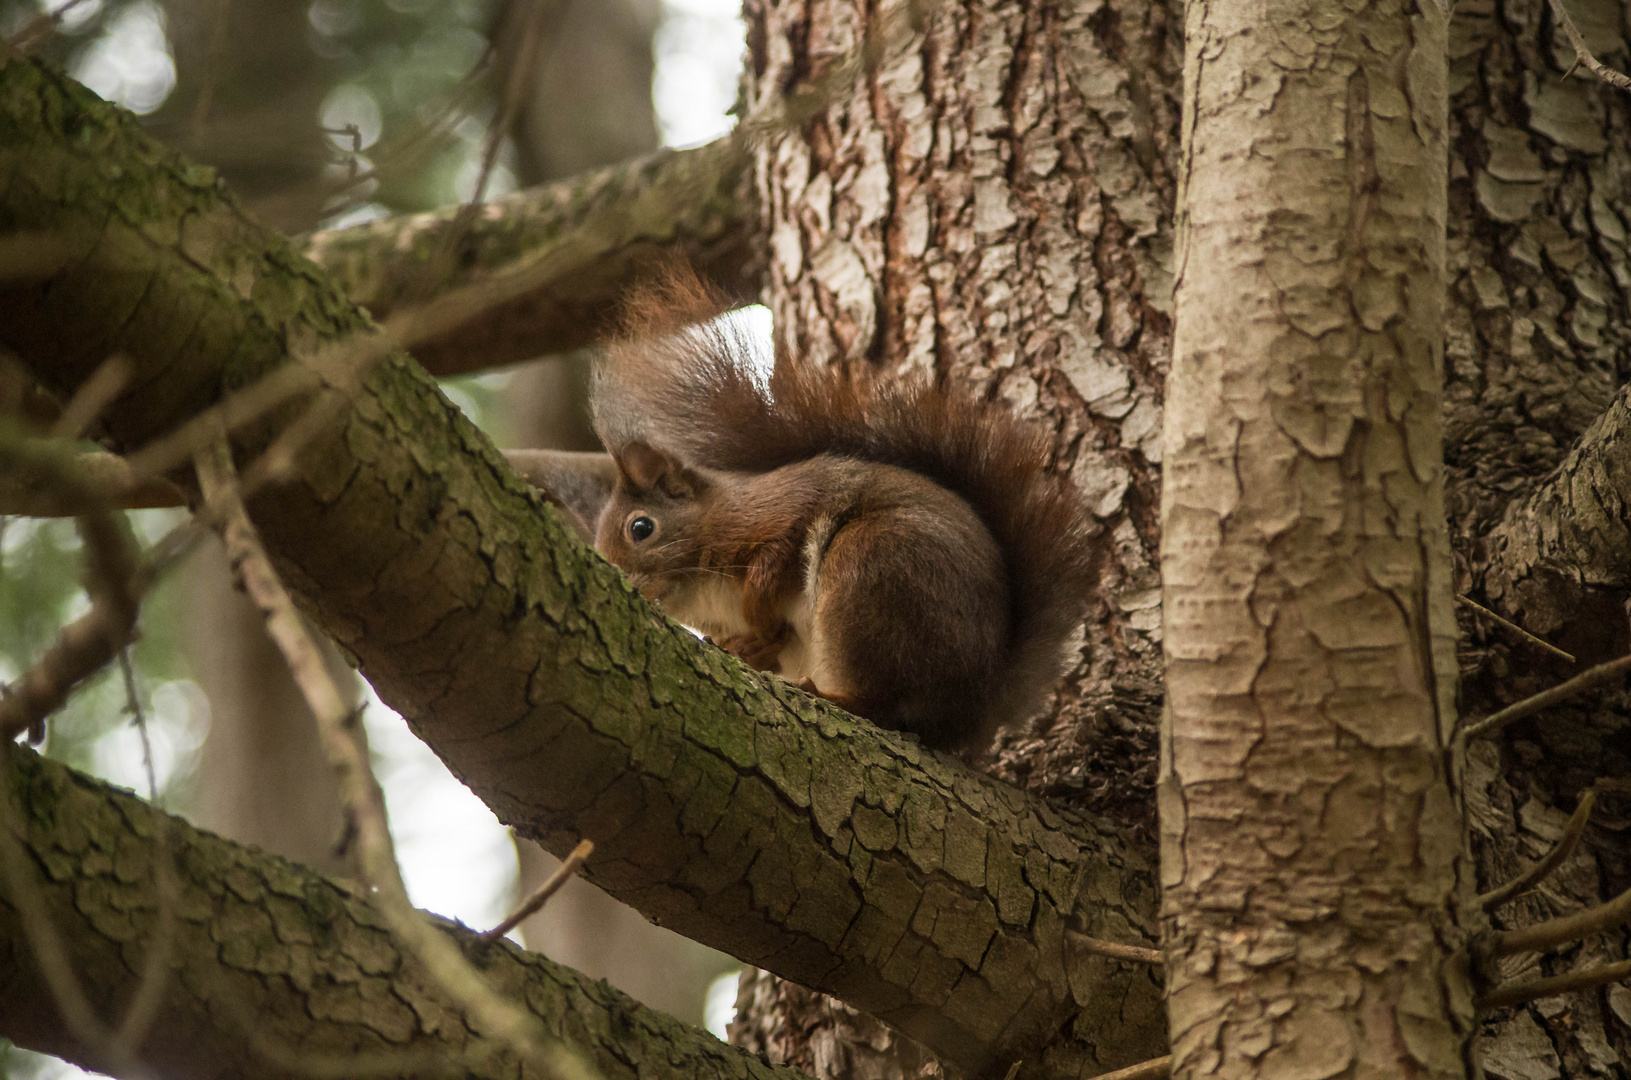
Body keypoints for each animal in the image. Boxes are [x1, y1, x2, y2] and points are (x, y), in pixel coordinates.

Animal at [567, 269, 1089, 753]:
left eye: (641, 528)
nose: (618, 577)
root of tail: (972, 705)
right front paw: (748, 646)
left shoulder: (773, 517)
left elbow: (774, 560)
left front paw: (759, 617)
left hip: (870, 572)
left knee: (881, 704)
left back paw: (832, 697)